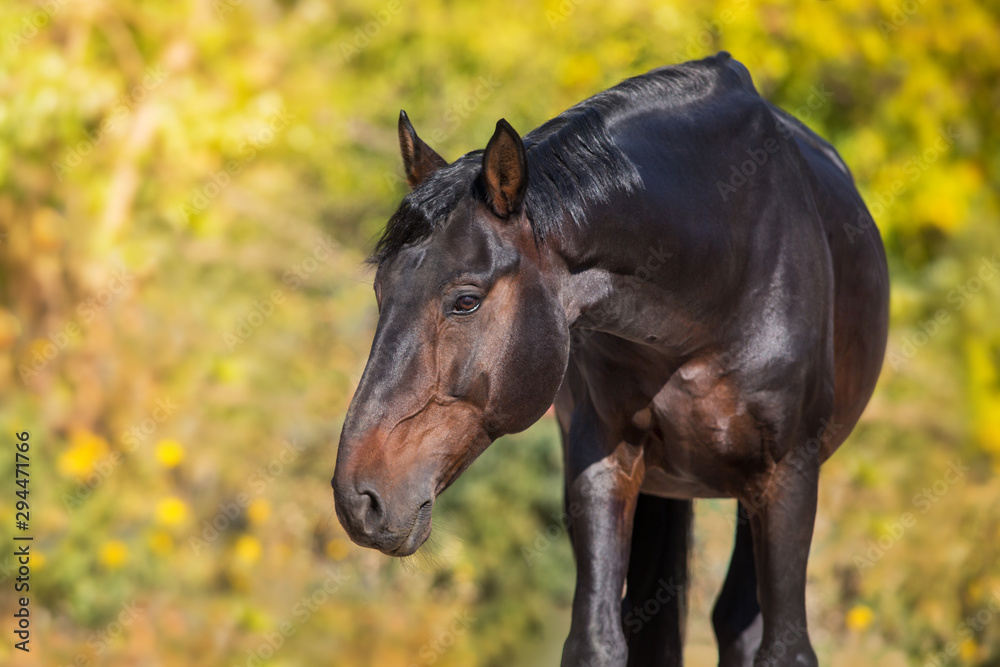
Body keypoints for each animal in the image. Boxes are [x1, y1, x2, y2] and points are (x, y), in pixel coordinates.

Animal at [332, 52, 889, 666]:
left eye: (466, 301)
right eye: (381, 290)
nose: (359, 499)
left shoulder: (789, 474)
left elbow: (785, 648)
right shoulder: (603, 462)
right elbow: (597, 639)